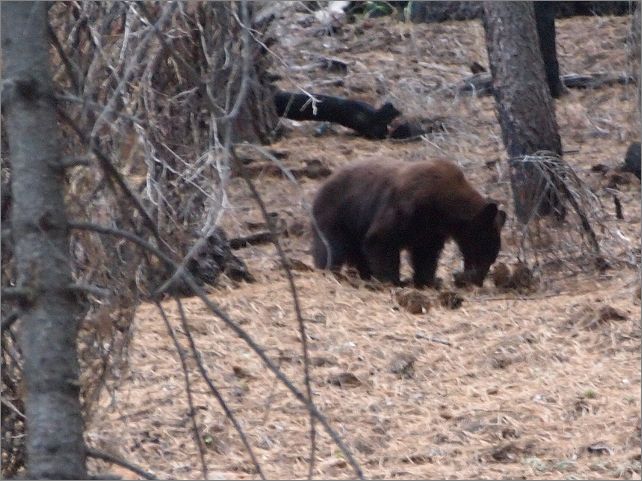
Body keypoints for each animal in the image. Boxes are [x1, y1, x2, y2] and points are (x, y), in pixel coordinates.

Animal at [310, 158, 504, 284]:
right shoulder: (406, 207)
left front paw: (426, 280)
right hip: (336, 215)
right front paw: (392, 280)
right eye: (485, 251)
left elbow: (426, 252)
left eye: (493, 257)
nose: (478, 281)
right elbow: (380, 239)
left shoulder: (431, 229)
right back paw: (330, 270)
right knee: (332, 247)